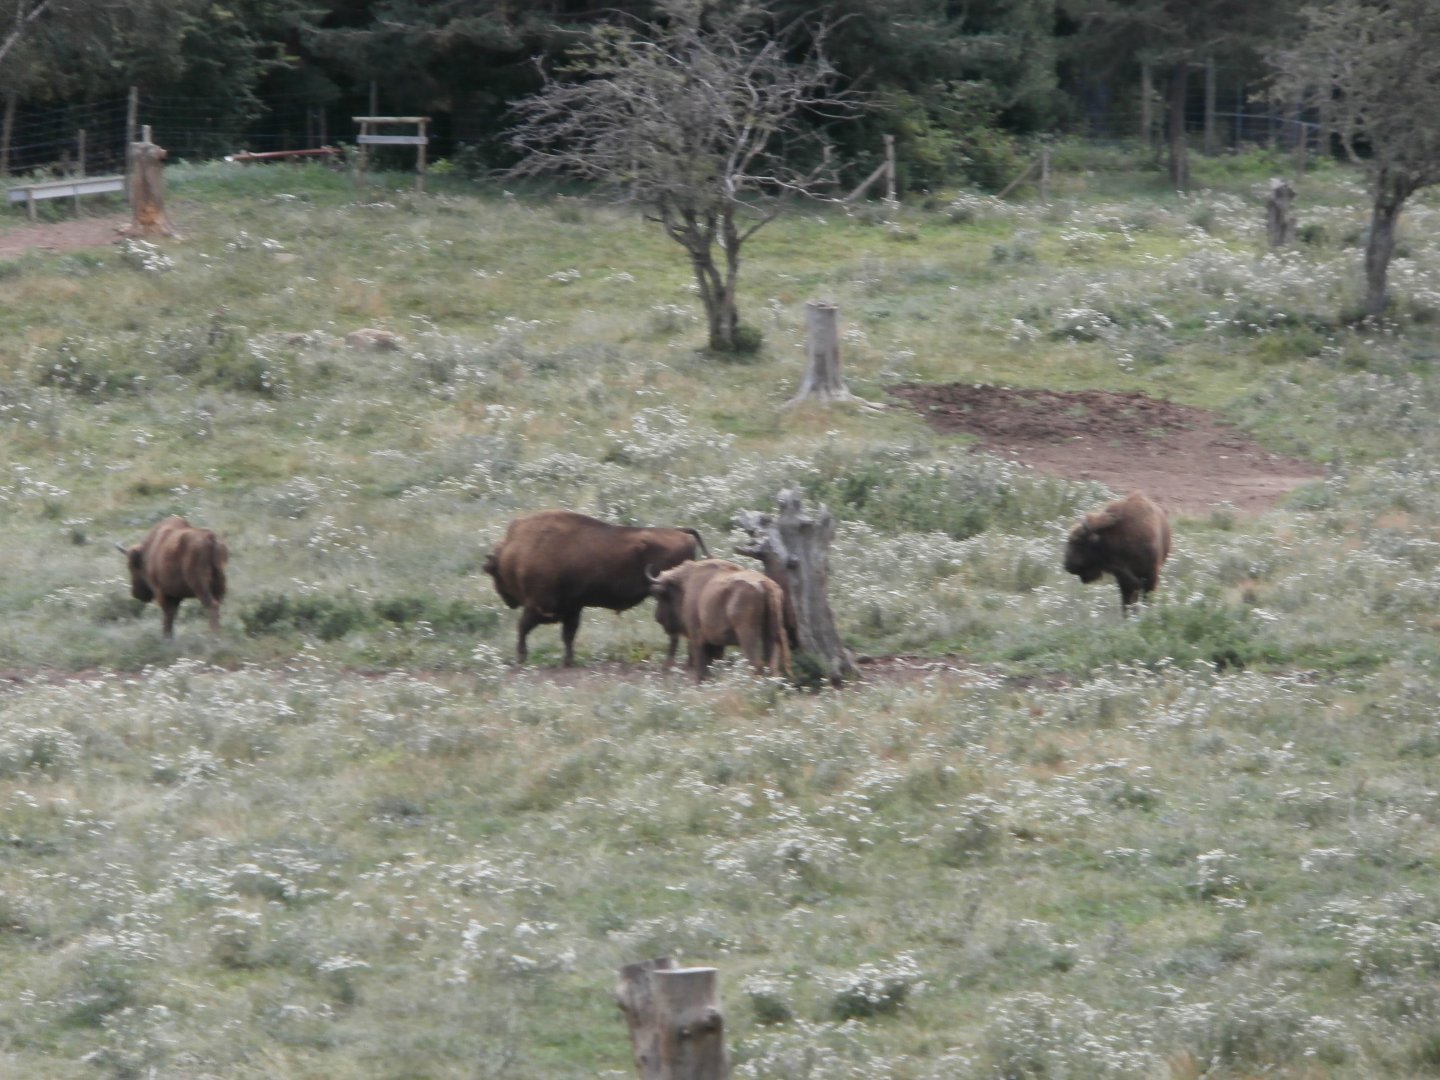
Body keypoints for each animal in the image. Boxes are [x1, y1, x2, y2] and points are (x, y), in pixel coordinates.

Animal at [483, 509, 709, 665]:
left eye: (494, 573)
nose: (508, 601)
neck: (517, 551)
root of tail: (681, 533)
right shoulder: (572, 608)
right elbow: (568, 635)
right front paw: (568, 661)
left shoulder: (538, 606)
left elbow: (523, 627)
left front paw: (521, 657)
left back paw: (672, 663)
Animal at [649, 558, 792, 681]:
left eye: (660, 596)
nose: (657, 618)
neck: (686, 584)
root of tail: (765, 584)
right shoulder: (716, 643)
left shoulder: (697, 638)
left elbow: (701, 667)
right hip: (773, 634)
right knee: (772, 666)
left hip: (747, 634)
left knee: (756, 663)